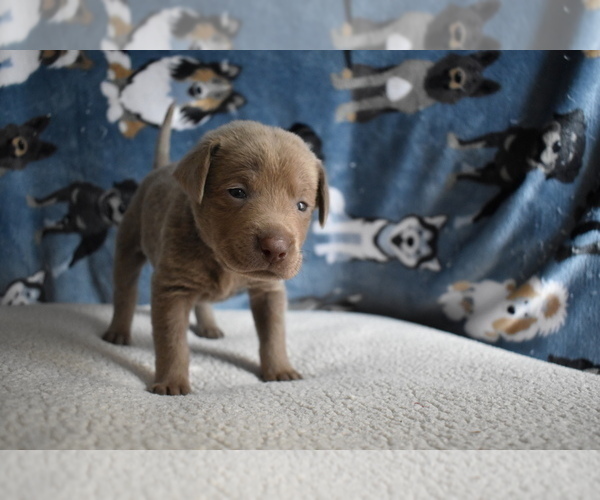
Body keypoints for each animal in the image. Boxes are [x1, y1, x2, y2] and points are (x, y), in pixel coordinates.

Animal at [103, 106, 328, 394]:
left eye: (302, 205)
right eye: (237, 192)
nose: (276, 248)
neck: (222, 262)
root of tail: (161, 168)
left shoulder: (269, 291)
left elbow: (274, 333)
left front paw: (279, 369)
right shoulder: (171, 288)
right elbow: (172, 341)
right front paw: (172, 382)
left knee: (201, 299)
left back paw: (208, 326)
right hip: (129, 242)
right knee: (125, 290)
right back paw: (118, 331)